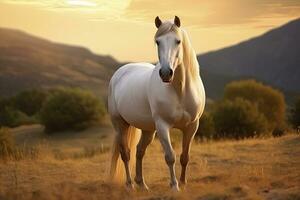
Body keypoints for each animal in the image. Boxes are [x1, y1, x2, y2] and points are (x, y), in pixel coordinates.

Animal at [108, 16, 206, 191]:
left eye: (178, 41)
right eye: (158, 42)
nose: (166, 73)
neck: (180, 91)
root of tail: (119, 73)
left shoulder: (192, 126)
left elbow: (185, 156)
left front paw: (183, 183)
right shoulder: (162, 126)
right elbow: (170, 156)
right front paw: (174, 186)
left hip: (147, 129)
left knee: (139, 151)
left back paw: (142, 184)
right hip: (120, 124)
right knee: (125, 153)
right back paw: (130, 185)